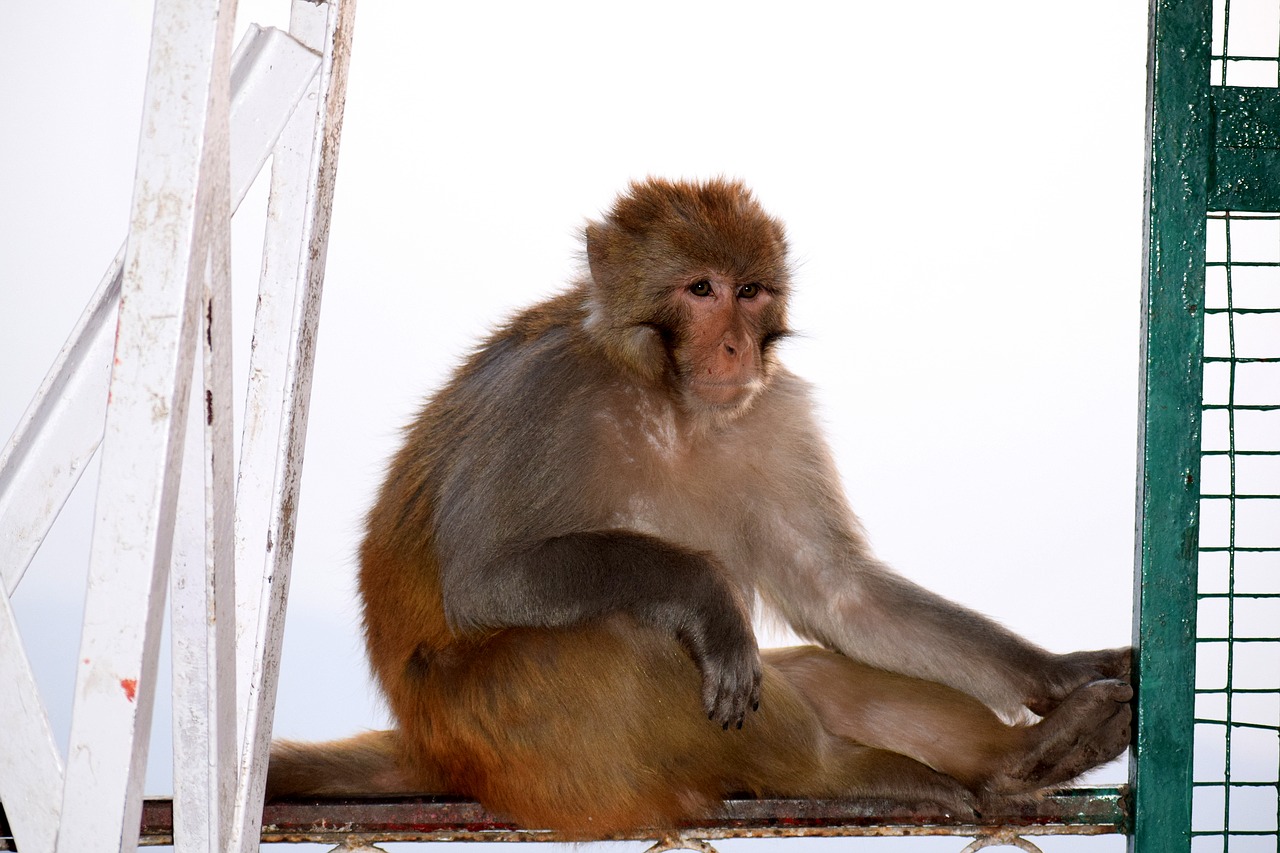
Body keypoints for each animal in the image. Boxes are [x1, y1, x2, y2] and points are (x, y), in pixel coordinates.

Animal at [267, 175, 1131, 835]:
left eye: (750, 292)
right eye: (700, 289)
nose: (734, 347)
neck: (669, 399)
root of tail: (430, 745)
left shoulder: (772, 412)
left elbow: (839, 593)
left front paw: (1053, 672)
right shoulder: (542, 393)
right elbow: (485, 578)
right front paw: (707, 593)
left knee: (816, 671)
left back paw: (1025, 757)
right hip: (518, 742)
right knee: (628, 639)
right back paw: (843, 772)